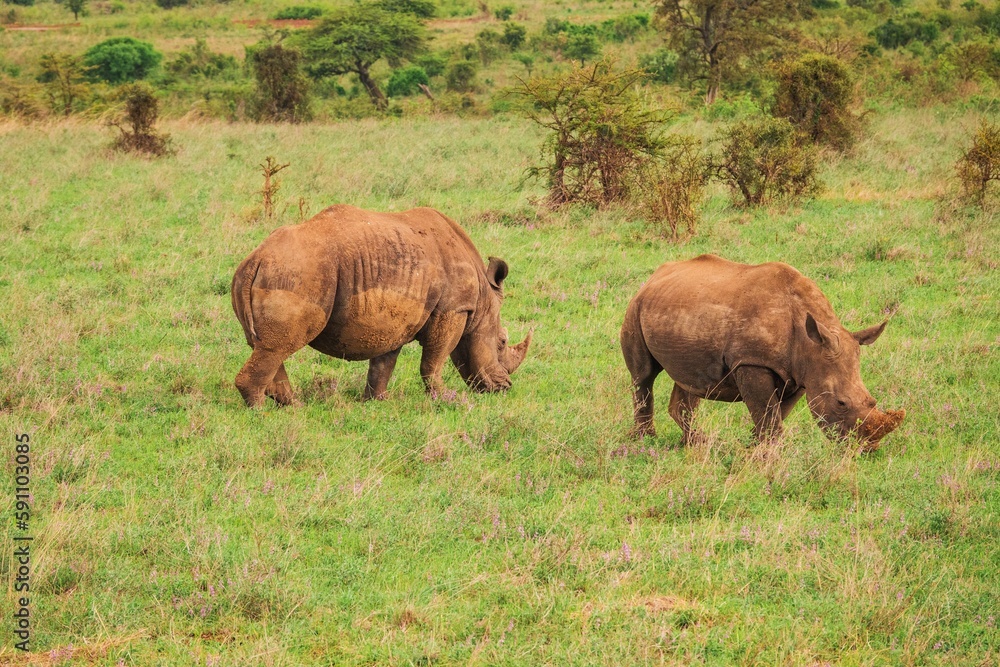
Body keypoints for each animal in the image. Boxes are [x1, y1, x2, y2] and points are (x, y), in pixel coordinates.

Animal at [231, 205, 531, 407]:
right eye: (502, 342)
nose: (505, 387)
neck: (482, 299)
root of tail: (255, 259)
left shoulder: (395, 320)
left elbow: (384, 363)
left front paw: (377, 401)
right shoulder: (453, 310)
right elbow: (434, 360)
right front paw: (445, 398)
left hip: (282, 270)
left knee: (269, 345)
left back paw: (294, 407)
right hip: (299, 271)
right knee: (278, 346)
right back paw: (263, 412)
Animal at [620, 254, 904, 450]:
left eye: (872, 401)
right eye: (840, 403)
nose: (867, 449)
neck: (809, 343)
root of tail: (654, 276)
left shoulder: (799, 373)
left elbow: (776, 414)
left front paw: (755, 447)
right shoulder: (752, 362)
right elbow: (767, 413)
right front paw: (768, 454)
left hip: (682, 311)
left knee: (691, 381)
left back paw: (694, 443)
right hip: (635, 307)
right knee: (643, 375)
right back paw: (646, 441)